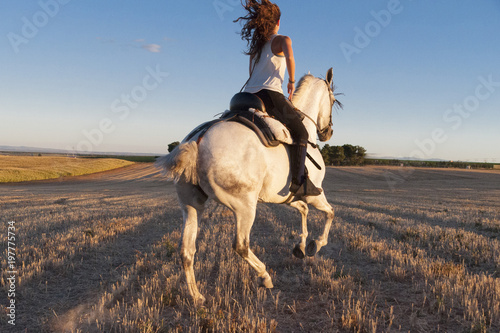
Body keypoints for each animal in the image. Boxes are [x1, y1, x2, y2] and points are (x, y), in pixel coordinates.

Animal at [158, 67, 342, 304]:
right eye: (333, 100)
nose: (328, 132)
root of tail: (198, 140)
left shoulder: (285, 197)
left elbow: (303, 210)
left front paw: (301, 246)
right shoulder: (314, 194)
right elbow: (330, 213)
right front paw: (314, 244)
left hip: (191, 205)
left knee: (186, 251)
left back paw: (197, 296)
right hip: (244, 207)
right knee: (240, 245)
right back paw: (265, 276)